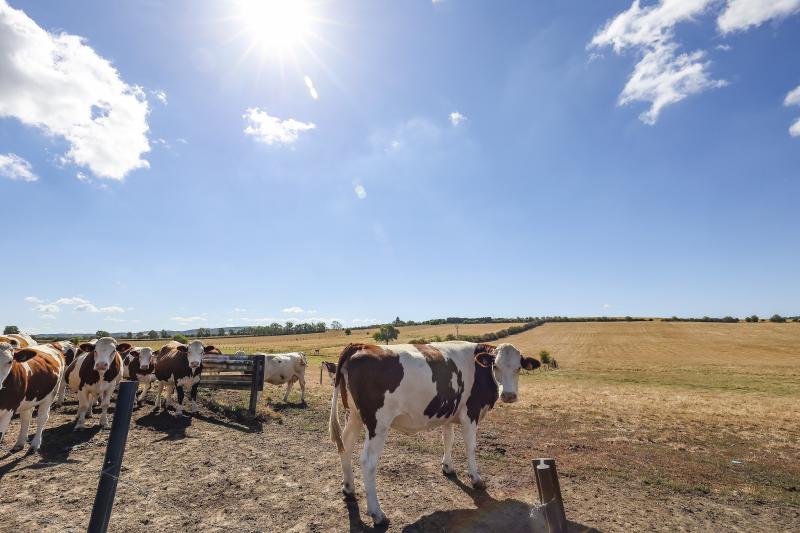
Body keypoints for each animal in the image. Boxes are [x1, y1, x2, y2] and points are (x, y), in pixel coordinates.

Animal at [329, 342, 540, 525]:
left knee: (345, 447)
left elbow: (448, 439)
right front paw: (476, 479)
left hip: (353, 416)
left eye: (519, 368)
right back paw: (377, 514)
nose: (509, 395)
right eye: (495, 366)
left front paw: (448, 467)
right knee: (367, 462)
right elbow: (470, 446)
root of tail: (361, 345)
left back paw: (348, 488)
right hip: (378, 423)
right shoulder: (470, 413)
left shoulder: (448, 413)